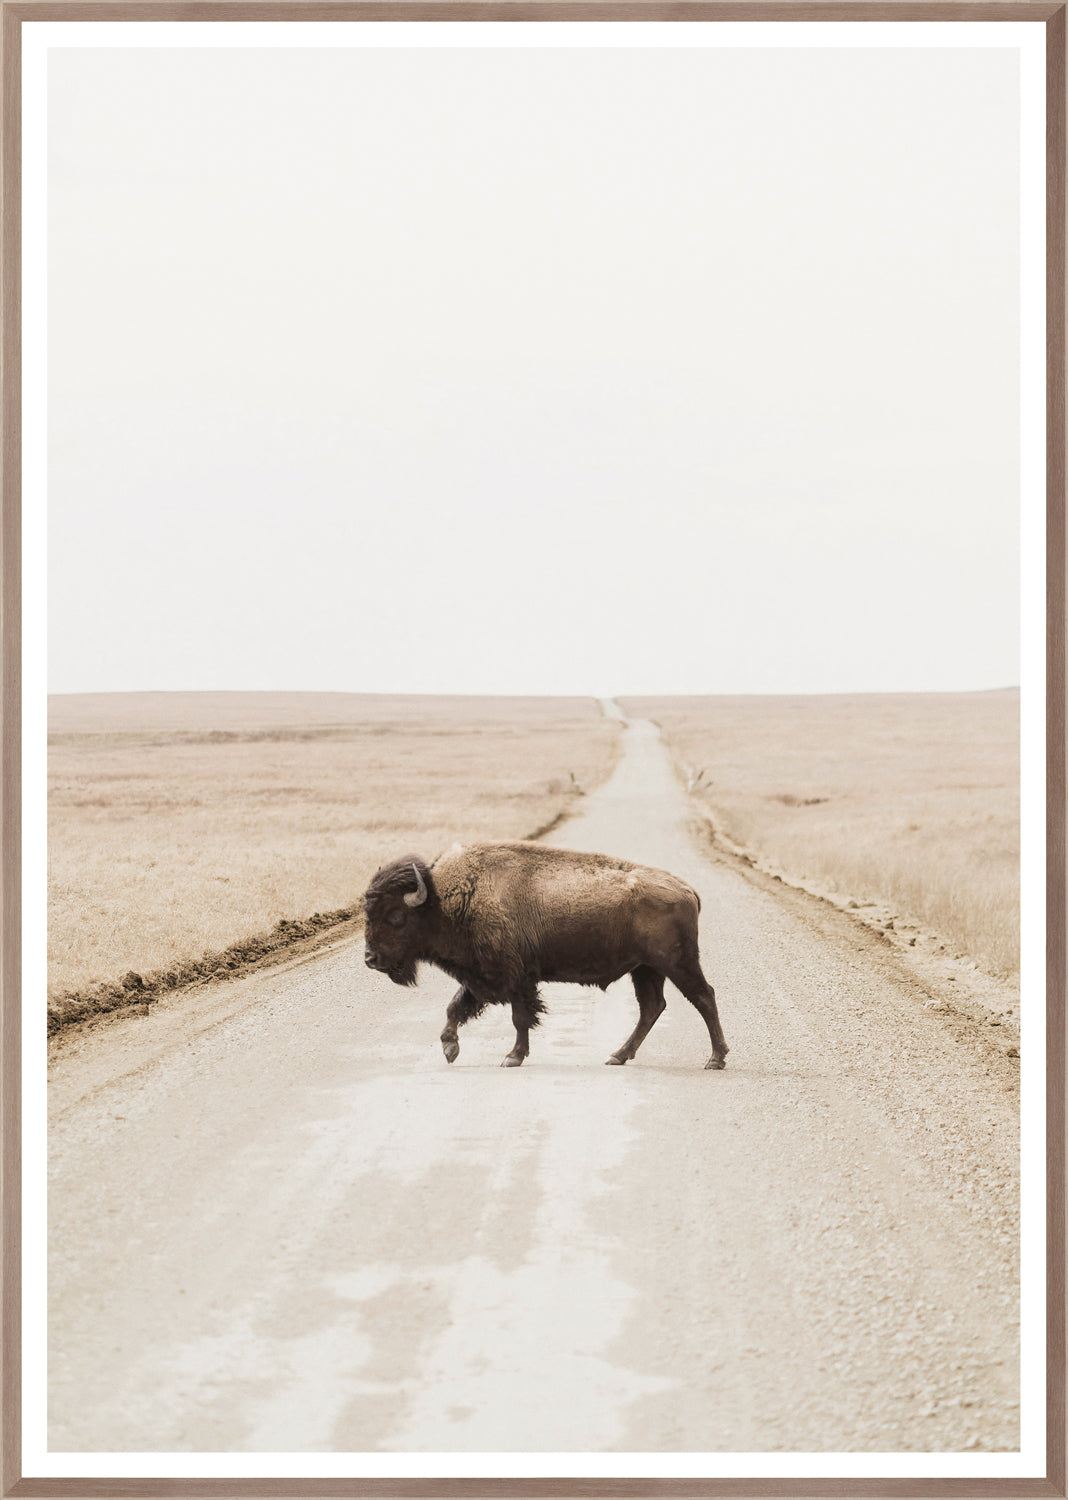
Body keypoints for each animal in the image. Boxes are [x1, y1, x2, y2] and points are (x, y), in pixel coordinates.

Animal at [363, 840, 728, 1070]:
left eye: (396, 916)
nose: (370, 959)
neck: (447, 899)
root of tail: (687, 890)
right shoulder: (481, 976)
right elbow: (456, 1007)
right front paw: (450, 1049)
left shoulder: (514, 978)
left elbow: (519, 1017)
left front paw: (512, 1057)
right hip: (645, 969)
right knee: (652, 1007)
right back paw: (617, 1055)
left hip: (677, 963)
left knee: (703, 997)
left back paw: (715, 1059)